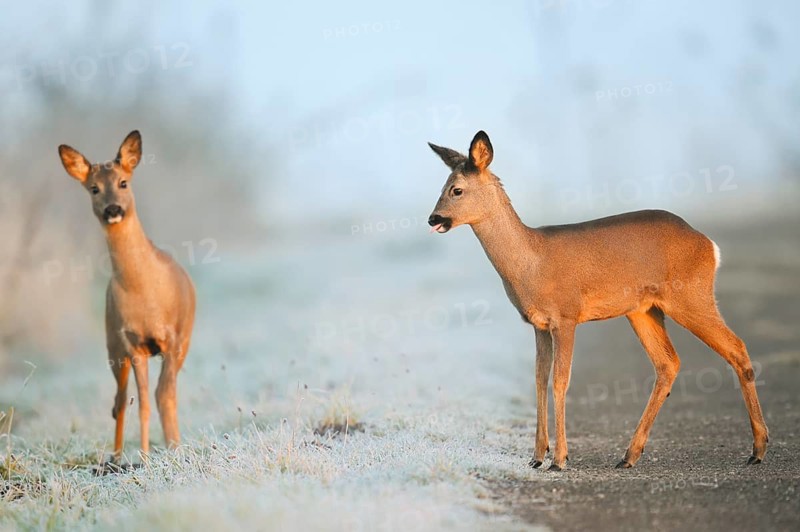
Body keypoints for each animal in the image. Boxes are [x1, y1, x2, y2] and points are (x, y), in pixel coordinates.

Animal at [58, 131, 196, 465]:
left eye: (123, 182)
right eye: (93, 188)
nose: (112, 209)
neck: (144, 290)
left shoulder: (173, 338)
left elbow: (164, 396)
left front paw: (173, 450)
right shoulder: (132, 343)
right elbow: (142, 401)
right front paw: (145, 458)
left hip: (182, 342)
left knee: (160, 393)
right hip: (112, 343)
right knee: (120, 400)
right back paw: (117, 458)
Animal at [426, 130, 768, 471]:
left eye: (457, 189)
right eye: (442, 187)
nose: (433, 218)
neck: (532, 261)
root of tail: (708, 244)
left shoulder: (566, 317)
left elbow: (560, 382)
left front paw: (559, 459)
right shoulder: (538, 324)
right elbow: (538, 381)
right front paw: (537, 456)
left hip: (691, 296)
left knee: (736, 348)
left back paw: (758, 449)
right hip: (644, 310)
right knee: (668, 363)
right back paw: (629, 455)